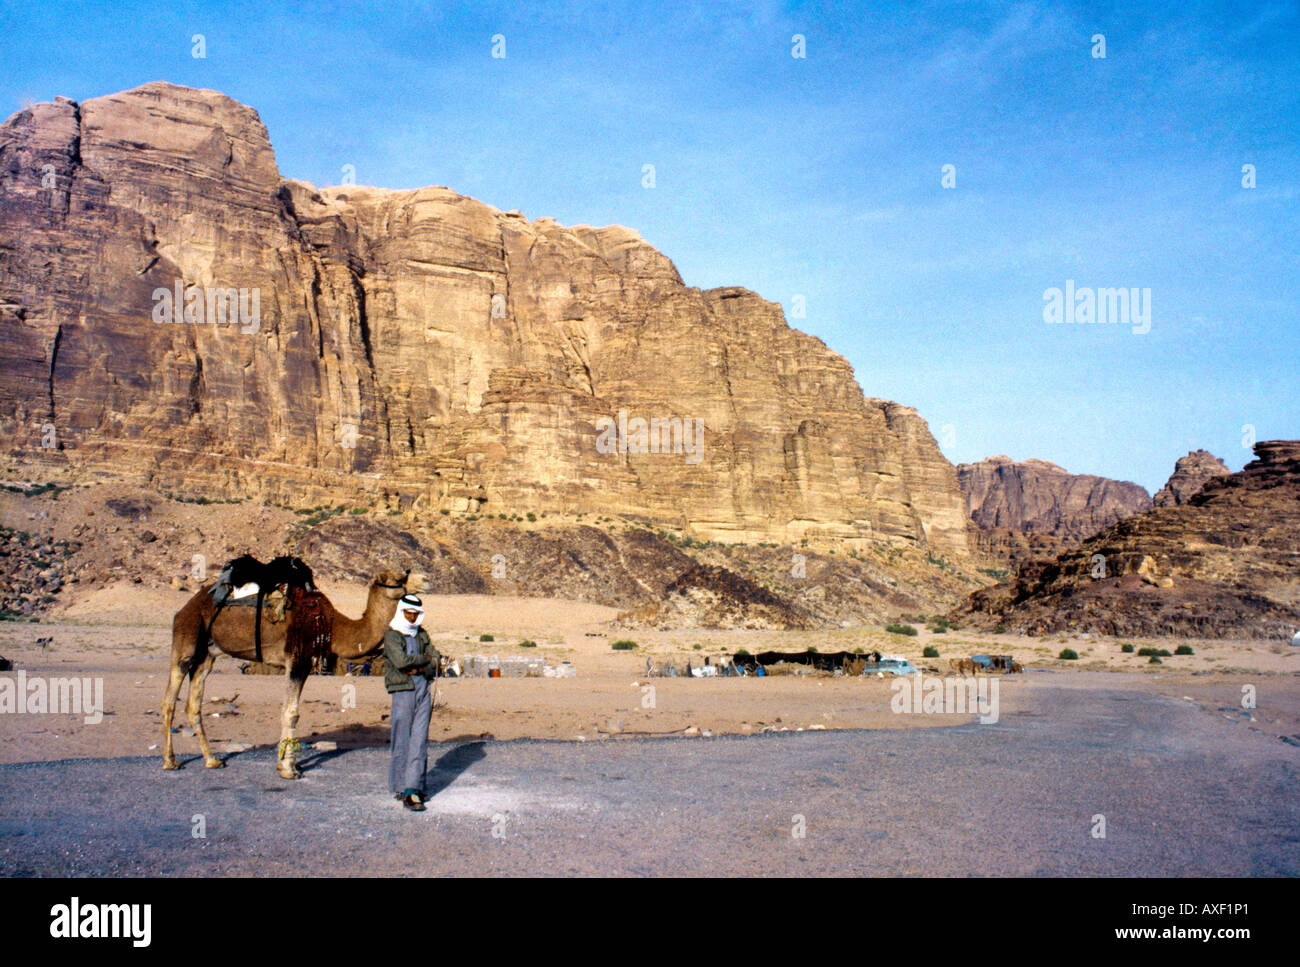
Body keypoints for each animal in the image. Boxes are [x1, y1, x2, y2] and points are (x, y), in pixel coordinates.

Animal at [162, 566, 408, 779]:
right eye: (398, 579)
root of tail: (185, 608)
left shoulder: (303, 664)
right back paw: (171, 762)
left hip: (208, 654)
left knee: (193, 704)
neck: (332, 627)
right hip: (187, 638)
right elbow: (292, 712)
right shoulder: (297, 660)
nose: (414, 578)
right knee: (169, 700)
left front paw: (282, 764)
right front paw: (290, 769)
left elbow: (286, 710)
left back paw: (212, 760)